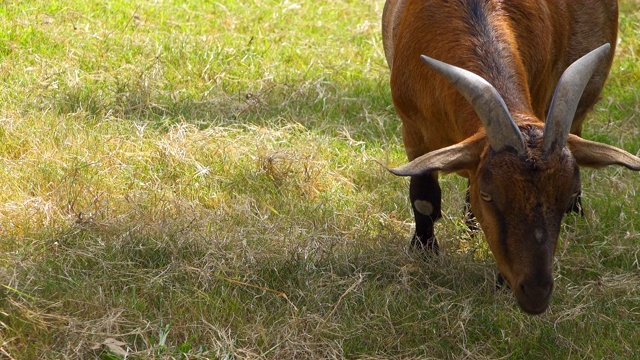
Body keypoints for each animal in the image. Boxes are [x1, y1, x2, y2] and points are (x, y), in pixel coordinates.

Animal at [382, 0, 636, 316]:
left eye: (567, 193)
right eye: (488, 195)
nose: (536, 293)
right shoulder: (413, 128)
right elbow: (424, 197)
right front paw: (424, 252)